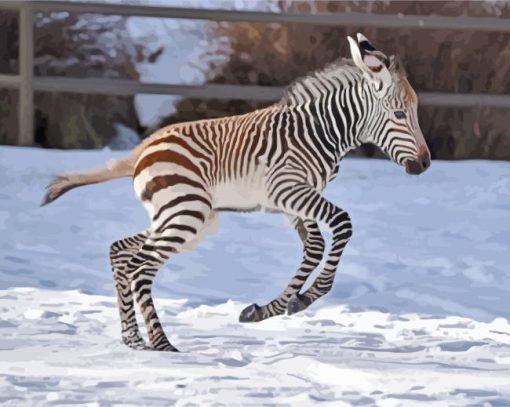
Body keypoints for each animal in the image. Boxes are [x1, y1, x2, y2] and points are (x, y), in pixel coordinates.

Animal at [41, 35, 430, 352]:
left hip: (183, 218)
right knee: (140, 266)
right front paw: (302, 298)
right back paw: (162, 344)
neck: (320, 133)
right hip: (186, 214)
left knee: (120, 251)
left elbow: (315, 247)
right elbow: (342, 225)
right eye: (399, 114)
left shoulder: (294, 202)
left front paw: (276, 306)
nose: (425, 164)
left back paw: (134, 339)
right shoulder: (289, 191)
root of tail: (144, 147)